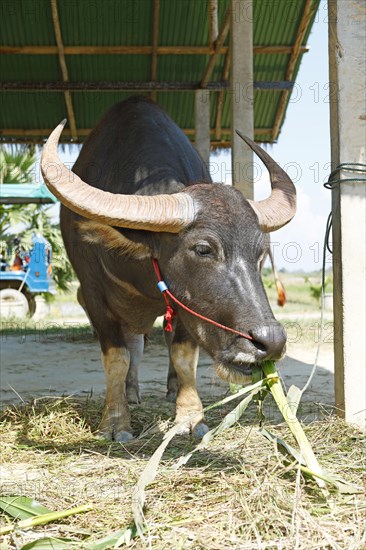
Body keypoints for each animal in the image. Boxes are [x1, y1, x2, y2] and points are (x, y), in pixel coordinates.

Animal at [41, 97, 296, 442]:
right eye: (203, 249)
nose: (270, 341)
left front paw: (190, 417)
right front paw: (116, 422)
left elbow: (183, 355)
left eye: (259, 253)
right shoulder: (91, 294)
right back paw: (131, 392)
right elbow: (117, 357)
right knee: (133, 345)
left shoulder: (188, 306)